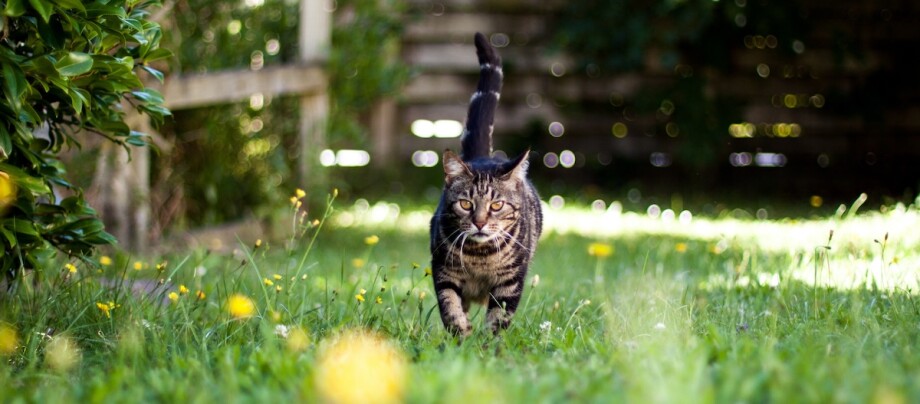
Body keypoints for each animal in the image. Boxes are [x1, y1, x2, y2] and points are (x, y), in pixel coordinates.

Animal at [430, 31, 544, 336]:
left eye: (496, 205)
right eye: (465, 204)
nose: (480, 222)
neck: (480, 256)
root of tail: (482, 156)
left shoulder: (510, 282)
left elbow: (498, 320)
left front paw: (488, 344)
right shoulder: (444, 272)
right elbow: (450, 307)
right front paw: (460, 335)